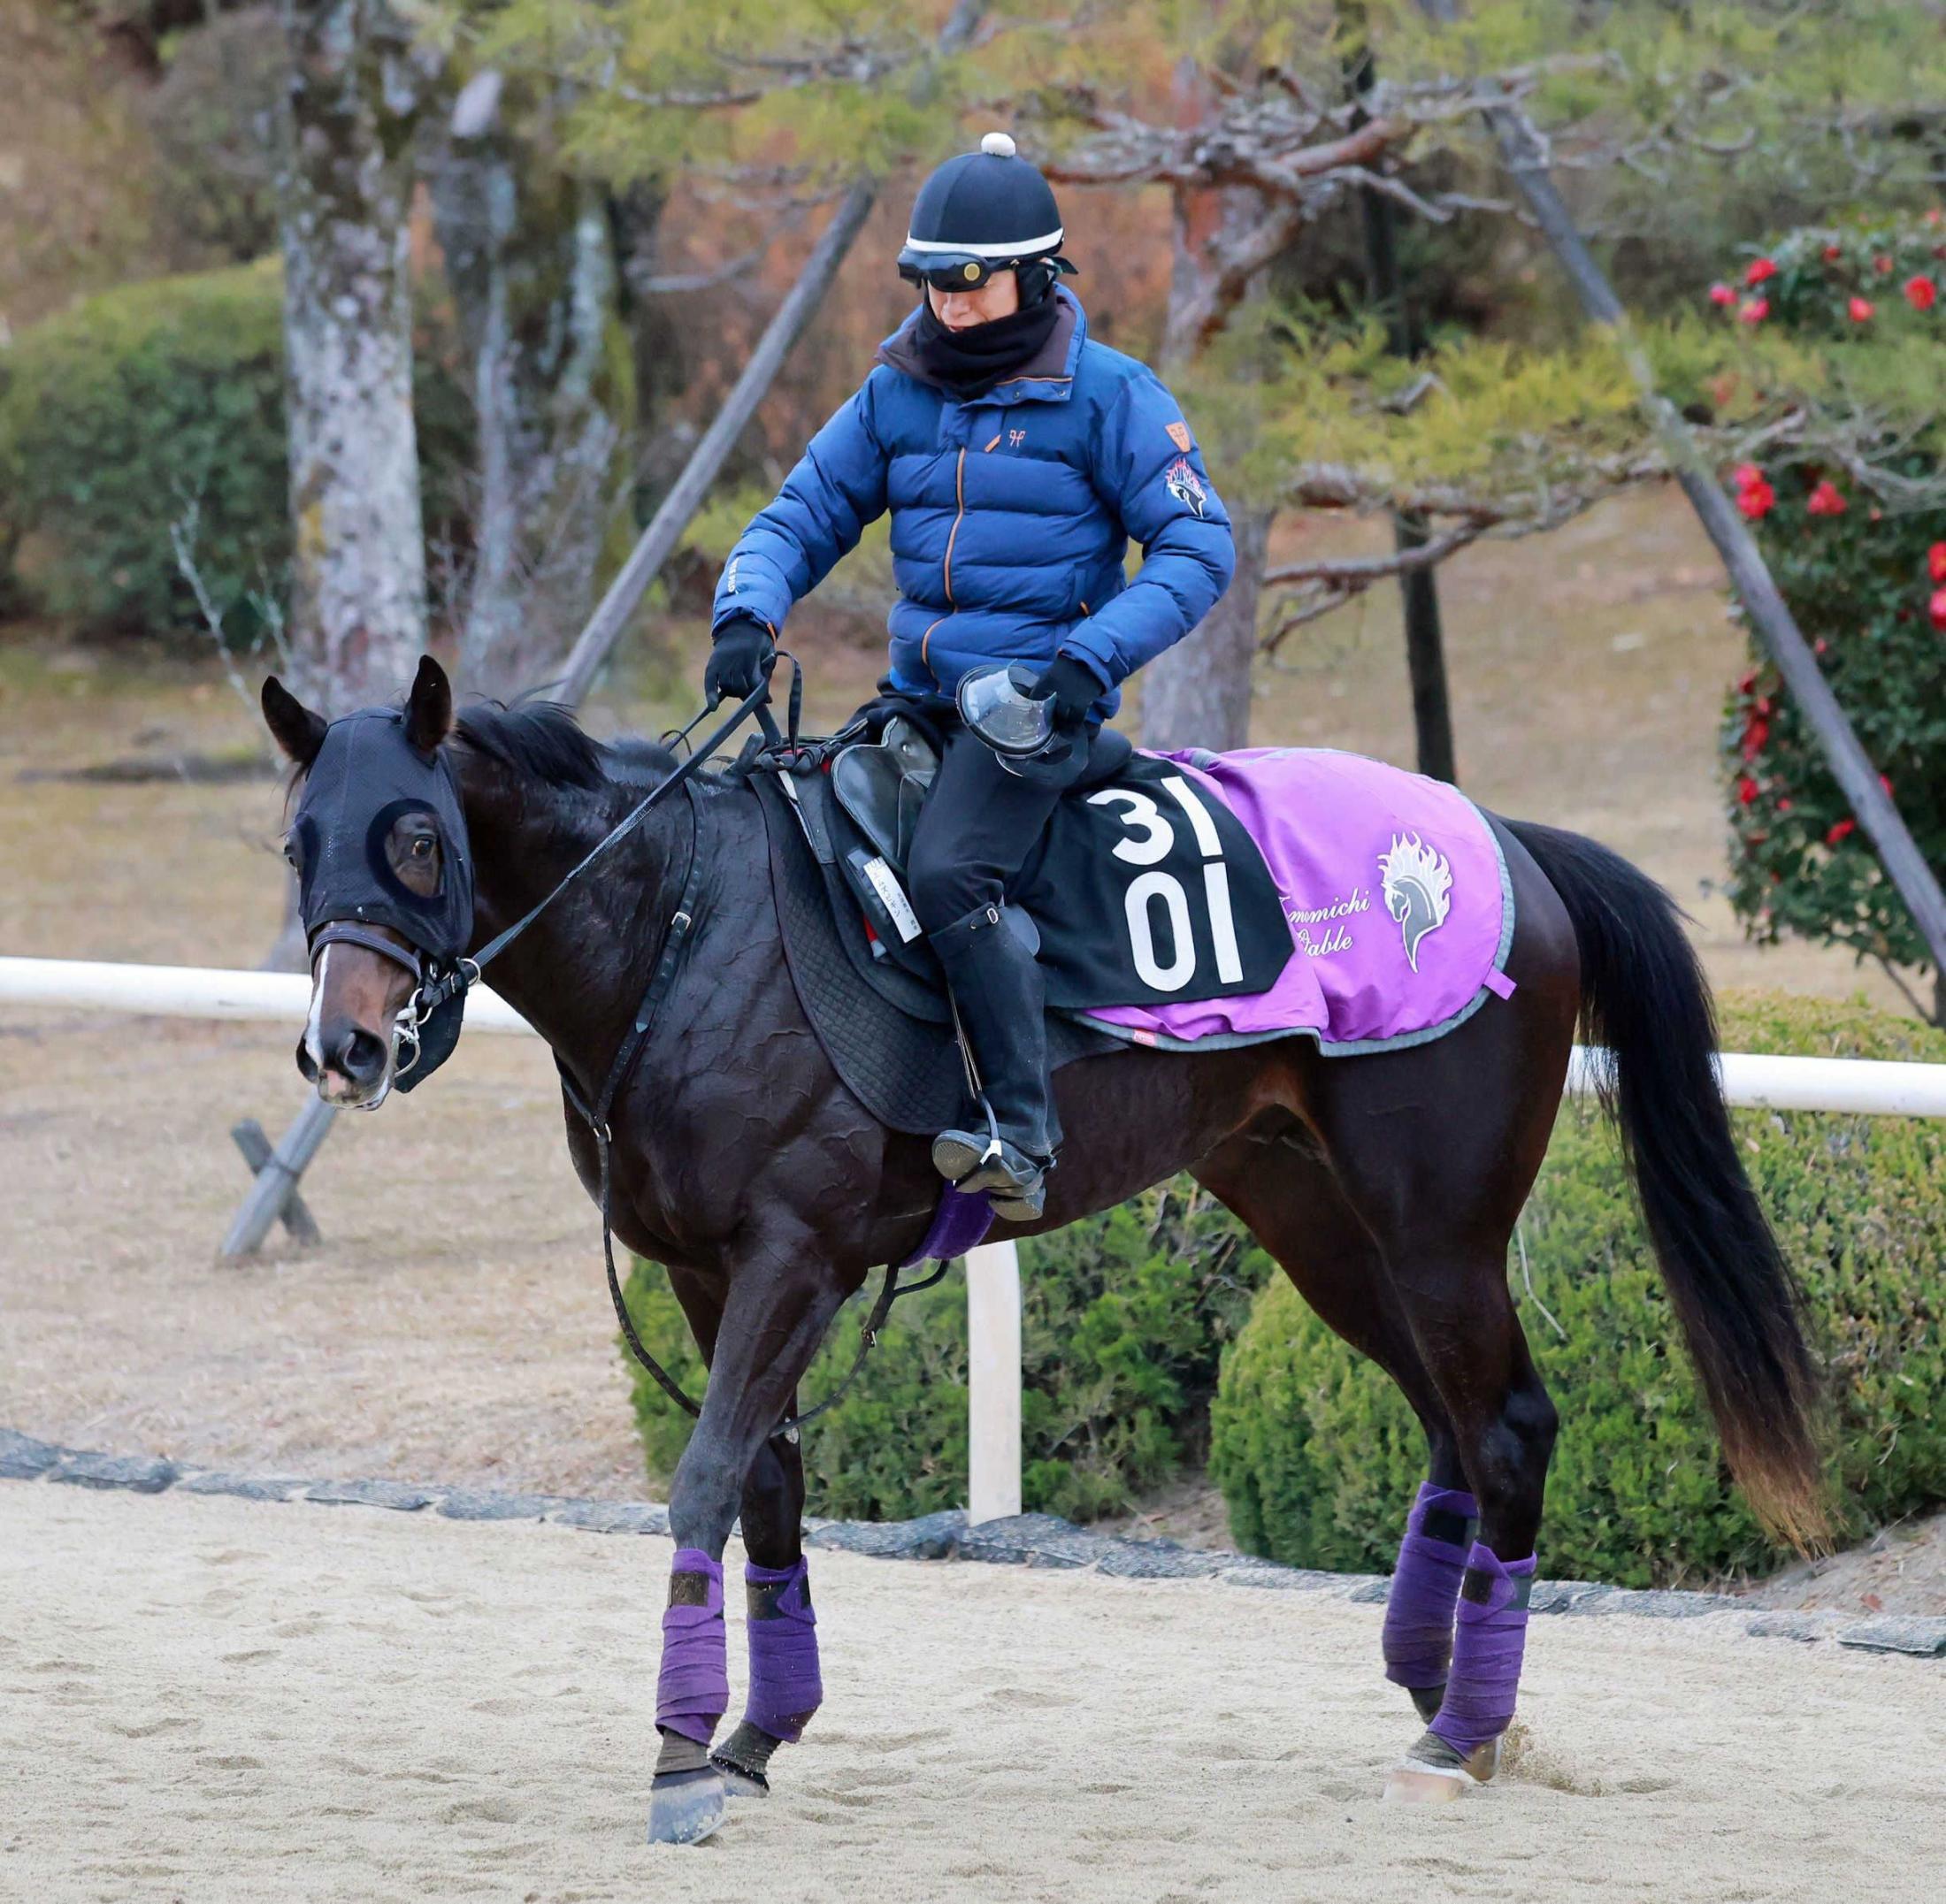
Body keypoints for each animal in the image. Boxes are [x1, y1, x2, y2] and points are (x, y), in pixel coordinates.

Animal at [262, 655, 1822, 1842]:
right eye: (298, 844)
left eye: (415, 837)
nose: (343, 1048)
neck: (687, 929)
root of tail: (1503, 838)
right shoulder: (710, 1271)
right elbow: (766, 1485)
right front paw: (757, 1731)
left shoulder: (793, 1259)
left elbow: (706, 1474)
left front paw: (676, 1750)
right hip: (1307, 1212)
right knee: (1446, 1421)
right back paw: (1435, 1688)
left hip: (1436, 1226)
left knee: (1505, 1426)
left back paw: (1462, 1731)